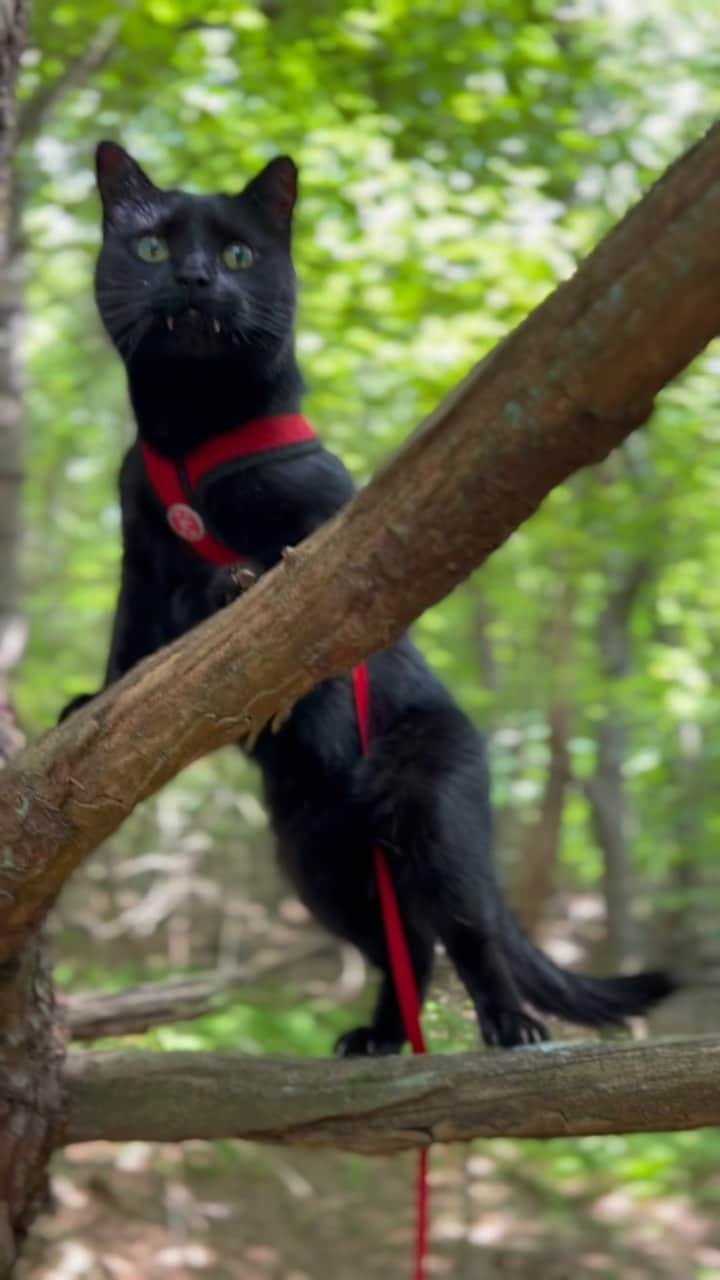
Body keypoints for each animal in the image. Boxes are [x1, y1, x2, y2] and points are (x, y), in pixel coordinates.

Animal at [63, 142, 671, 1049]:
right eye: (152, 248)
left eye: (237, 254)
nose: (197, 278)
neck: (192, 435)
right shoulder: (139, 550)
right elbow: (129, 642)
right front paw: (91, 706)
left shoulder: (335, 542)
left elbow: (282, 590)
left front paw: (229, 586)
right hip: (319, 862)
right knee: (405, 949)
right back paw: (380, 1037)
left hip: (430, 812)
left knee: (469, 932)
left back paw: (512, 1026)